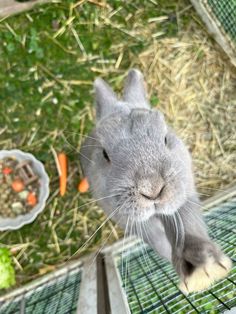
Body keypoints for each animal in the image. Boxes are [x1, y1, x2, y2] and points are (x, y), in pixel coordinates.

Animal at [80, 69, 231, 294]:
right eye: (105, 154)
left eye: (166, 138)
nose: (152, 189)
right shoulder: (133, 222)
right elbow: (159, 241)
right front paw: (194, 274)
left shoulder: (185, 197)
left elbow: (187, 226)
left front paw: (205, 270)